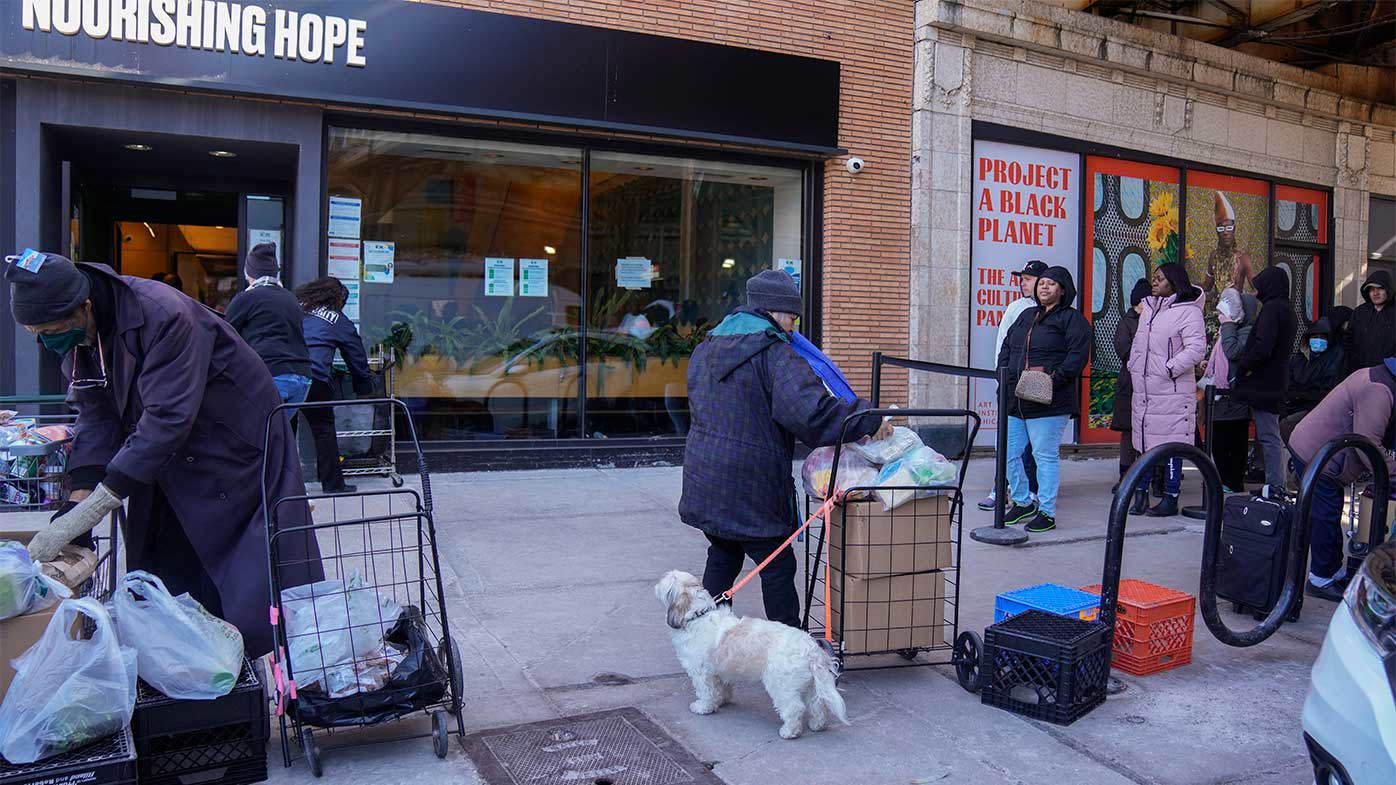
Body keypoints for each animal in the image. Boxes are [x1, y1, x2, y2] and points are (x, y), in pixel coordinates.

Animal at [656, 564, 848, 737]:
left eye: (667, 580)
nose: (656, 585)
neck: (698, 615)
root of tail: (811, 649)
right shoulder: (719, 671)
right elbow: (721, 687)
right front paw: (722, 700)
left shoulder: (701, 672)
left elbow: (706, 691)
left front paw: (703, 707)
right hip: (811, 685)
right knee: (817, 704)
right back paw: (817, 725)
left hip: (781, 685)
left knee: (794, 708)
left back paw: (789, 731)